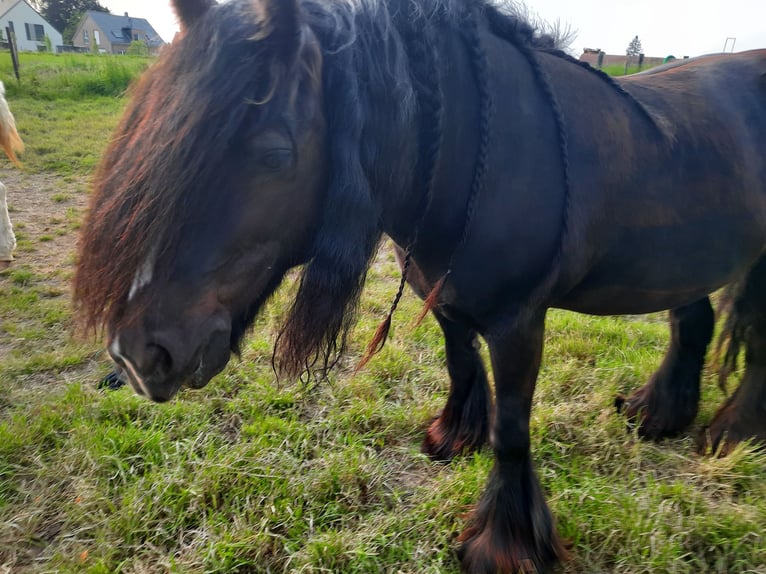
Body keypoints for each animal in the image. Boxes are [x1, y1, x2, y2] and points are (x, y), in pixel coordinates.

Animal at [73, 2, 766, 572]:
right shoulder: (448, 304)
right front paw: (452, 438)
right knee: (690, 322)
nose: (137, 356)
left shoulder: (519, 322)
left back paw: (730, 437)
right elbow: (461, 369)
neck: (478, 157)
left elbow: (512, 429)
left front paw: (505, 547)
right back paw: (657, 415)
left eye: (275, 153)